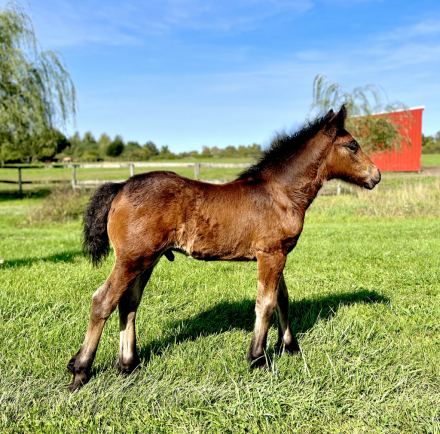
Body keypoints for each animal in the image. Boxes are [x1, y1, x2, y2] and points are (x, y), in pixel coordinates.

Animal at [68, 105, 382, 390]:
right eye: (352, 145)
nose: (376, 175)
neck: (281, 193)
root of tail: (121, 186)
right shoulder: (270, 254)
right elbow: (266, 303)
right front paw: (258, 358)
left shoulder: (279, 254)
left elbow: (283, 298)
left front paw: (291, 347)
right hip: (132, 258)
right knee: (103, 301)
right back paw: (80, 370)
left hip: (147, 260)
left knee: (128, 303)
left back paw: (127, 365)